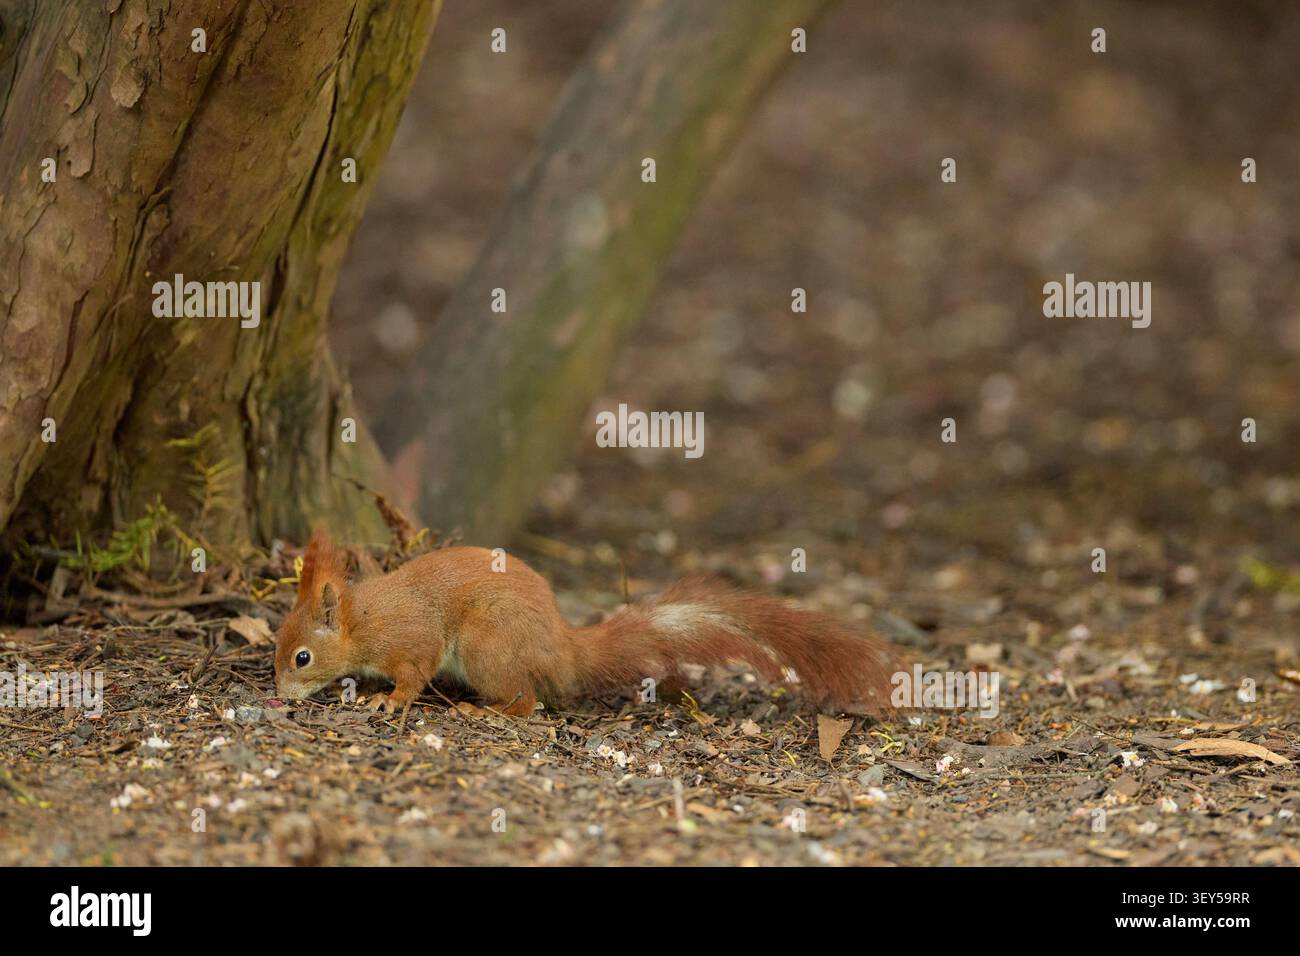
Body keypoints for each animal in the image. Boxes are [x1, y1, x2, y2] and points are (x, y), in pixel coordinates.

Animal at [274, 531, 903, 717]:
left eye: (302, 657)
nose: (277, 695)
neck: (362, 619)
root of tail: (563, 648)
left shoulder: (409, 639)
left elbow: (412, 673)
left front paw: (388, 700)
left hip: (486, 647)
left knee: (528, 702)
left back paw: (487, 711)